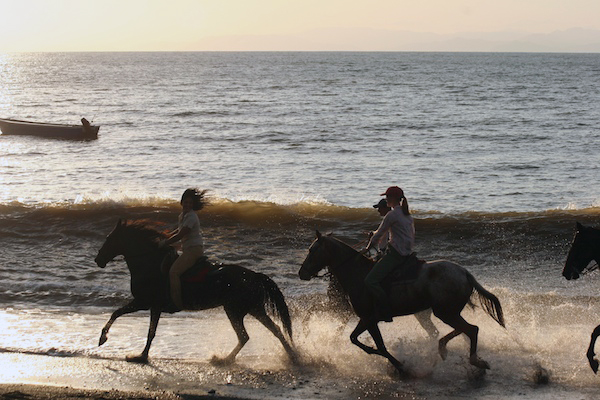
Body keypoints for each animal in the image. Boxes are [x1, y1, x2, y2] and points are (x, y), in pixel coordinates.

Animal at [93, 220, 296, 364]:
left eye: (109, 238)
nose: (98, 260)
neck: (150, 263)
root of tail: (254, 275)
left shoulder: (146, 303)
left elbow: (131, 321)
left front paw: (109, 341)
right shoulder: (149, 305)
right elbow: (137, 324)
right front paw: (135, 353)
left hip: (236, 310)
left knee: (247, 336)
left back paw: (224, 359)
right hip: (253, 309)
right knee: (275, 330)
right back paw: (292, 356)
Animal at [298, 230, 504, 374]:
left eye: (312, 250)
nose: (302, 273)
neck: (358, 274)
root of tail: (464, 273)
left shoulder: (369, 319)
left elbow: (375, 345)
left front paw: (400, 365)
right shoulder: (365, 319)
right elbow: (357, 339)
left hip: (446, 312)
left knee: (471, 330)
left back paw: (473, 360)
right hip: (446, 312)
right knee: (462, 330)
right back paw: (444, 349)